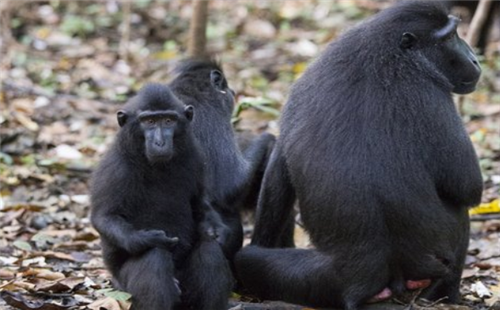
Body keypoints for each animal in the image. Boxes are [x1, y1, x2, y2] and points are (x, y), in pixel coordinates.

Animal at [89, 83, 232, 310]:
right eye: (149, 122)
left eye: (168, 121)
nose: (159, 141)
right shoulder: (115, 168)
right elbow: (105, 217)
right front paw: (147, 238)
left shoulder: (196, 158)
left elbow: (200, 204)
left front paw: (217, 232)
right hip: (124, 287)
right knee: (154, 257)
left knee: (210, 252)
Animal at [236, 2, 482, 310]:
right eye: (449, 38)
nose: (474, 59)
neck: (387, 50)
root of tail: (362, 282)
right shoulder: (433, 95)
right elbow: (468, 187)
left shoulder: (301, 86)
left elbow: (278, 165)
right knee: (460, 213)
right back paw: (443, 295)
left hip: (320, 280)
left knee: (248, 261)